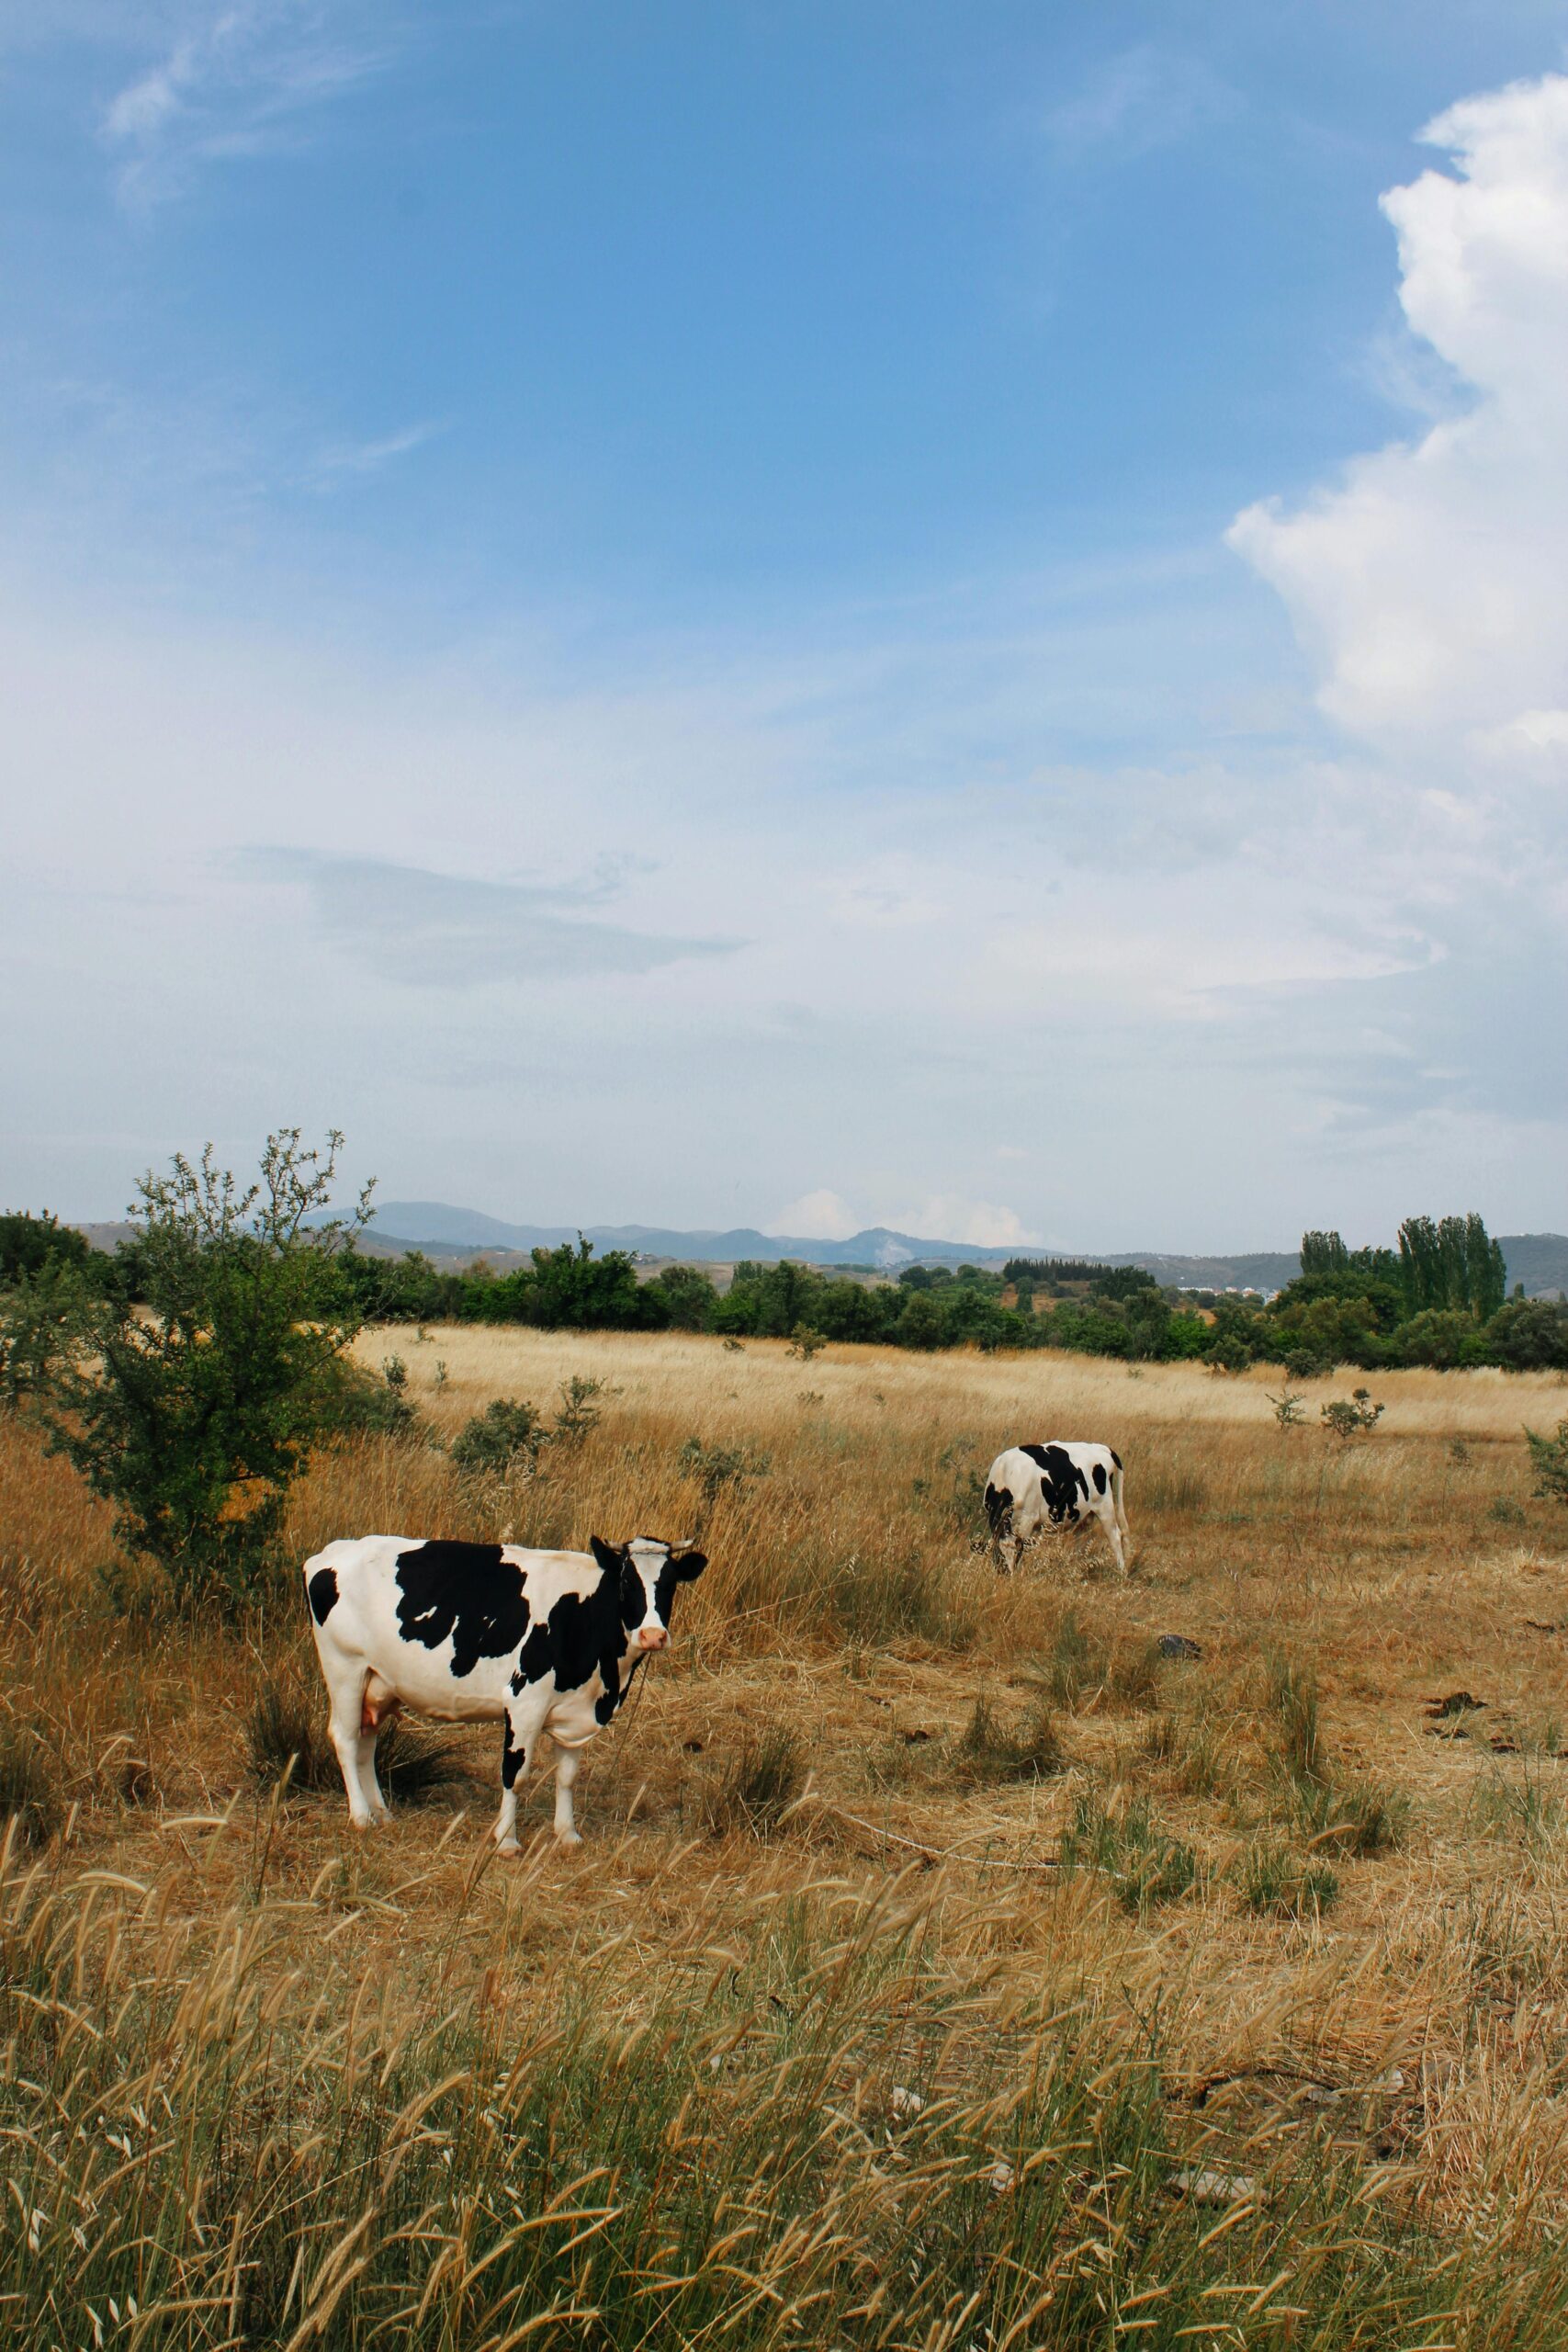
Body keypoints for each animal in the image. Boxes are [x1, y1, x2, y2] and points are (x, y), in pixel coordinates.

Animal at [300, 1543, 705, 1853]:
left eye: (670, 1584)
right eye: (626, 1582)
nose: (653, 1635)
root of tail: (330, 1553)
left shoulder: (575, 1710)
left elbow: (567, 1776)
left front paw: (568, 1834)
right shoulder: (524, 1702)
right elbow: (516, 1774)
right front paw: (507, 1840)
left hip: (378, 1682)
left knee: (367, 1742)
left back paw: (381, 1813)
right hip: (345, 1668)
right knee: (346, 1739)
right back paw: (360, 1816)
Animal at [982, 1430, 1128, 1580]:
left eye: (1016, 1555)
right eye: (998, 1556)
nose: (1008, 1576)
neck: (1006, 1475)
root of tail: (1102, 1448)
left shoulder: (1027, 1518)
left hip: (1105, 1507)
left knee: (1115, 1536)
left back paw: (1122, 1573)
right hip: (1084, 1514)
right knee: (1081, 1542)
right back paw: (1075, 1571)